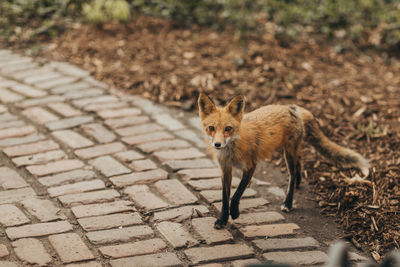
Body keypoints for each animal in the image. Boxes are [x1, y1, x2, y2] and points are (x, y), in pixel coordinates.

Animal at [198, 92, 370, 228]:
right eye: (211, 128)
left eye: (228, 128)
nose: (217, 144)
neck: (231, 151)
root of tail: (292, 107)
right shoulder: (225, 169)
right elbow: (224, 197)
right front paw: (222, 220)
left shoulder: (250, 166)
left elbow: (236, 195)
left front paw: (234, 213)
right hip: (290, 151)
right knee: (299, 164)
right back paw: (299, 183)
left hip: (288, 153)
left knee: (292, 175)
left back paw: (288, 202)